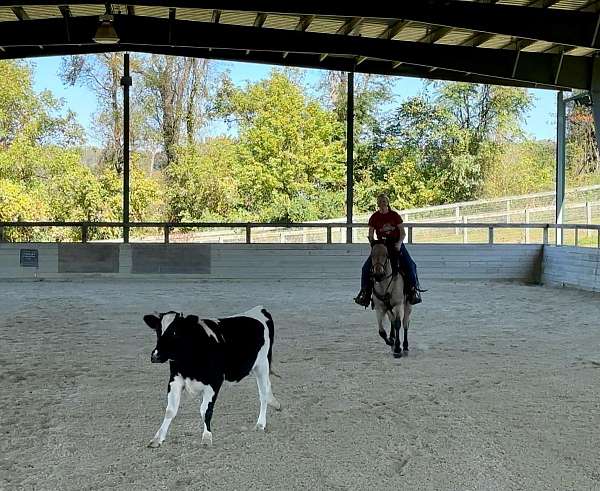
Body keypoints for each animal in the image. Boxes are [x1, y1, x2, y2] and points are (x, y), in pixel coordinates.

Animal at [143, 308, 282, 450]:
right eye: (158, 331)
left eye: (175, 331)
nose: (155, 355)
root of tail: (259, 309)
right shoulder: (175, 380)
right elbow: (170, 410)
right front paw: (157, 438)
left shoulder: (214, 382)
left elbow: (206, 410)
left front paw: (206, 437)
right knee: (267, 387)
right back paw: (274, 403)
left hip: (262, 365)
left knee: (263, 393)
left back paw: (261, 423)